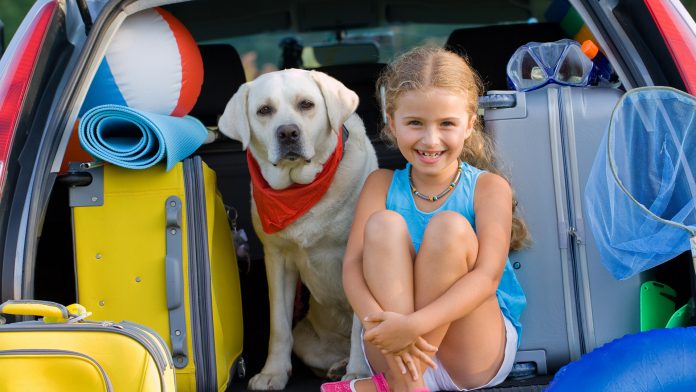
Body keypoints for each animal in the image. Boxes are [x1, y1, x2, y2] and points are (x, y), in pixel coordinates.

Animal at [220, 69, 378, 390]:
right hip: (307, 339)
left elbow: (360, 324)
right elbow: (279, 326)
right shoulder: (277, 259)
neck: (301, 190)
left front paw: (358, 373)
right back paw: (337, 367)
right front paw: (273, 373)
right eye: (264, 110)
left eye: (306, 104)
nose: (288, 133)